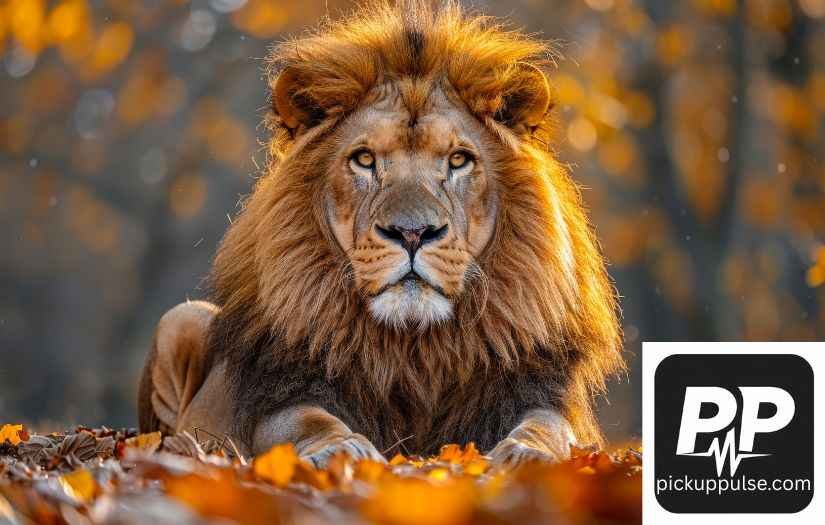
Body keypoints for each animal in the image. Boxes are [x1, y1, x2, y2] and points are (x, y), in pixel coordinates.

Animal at [138, 0, 624, 467]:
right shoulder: (285, 392)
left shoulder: (536, 390)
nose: (412, 232)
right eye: (365, 159)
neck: (414, 348)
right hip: (181, 318)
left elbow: (549, 428)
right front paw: (340, 448)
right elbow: (307, 422)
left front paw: (527, 453)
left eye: (459, 160)